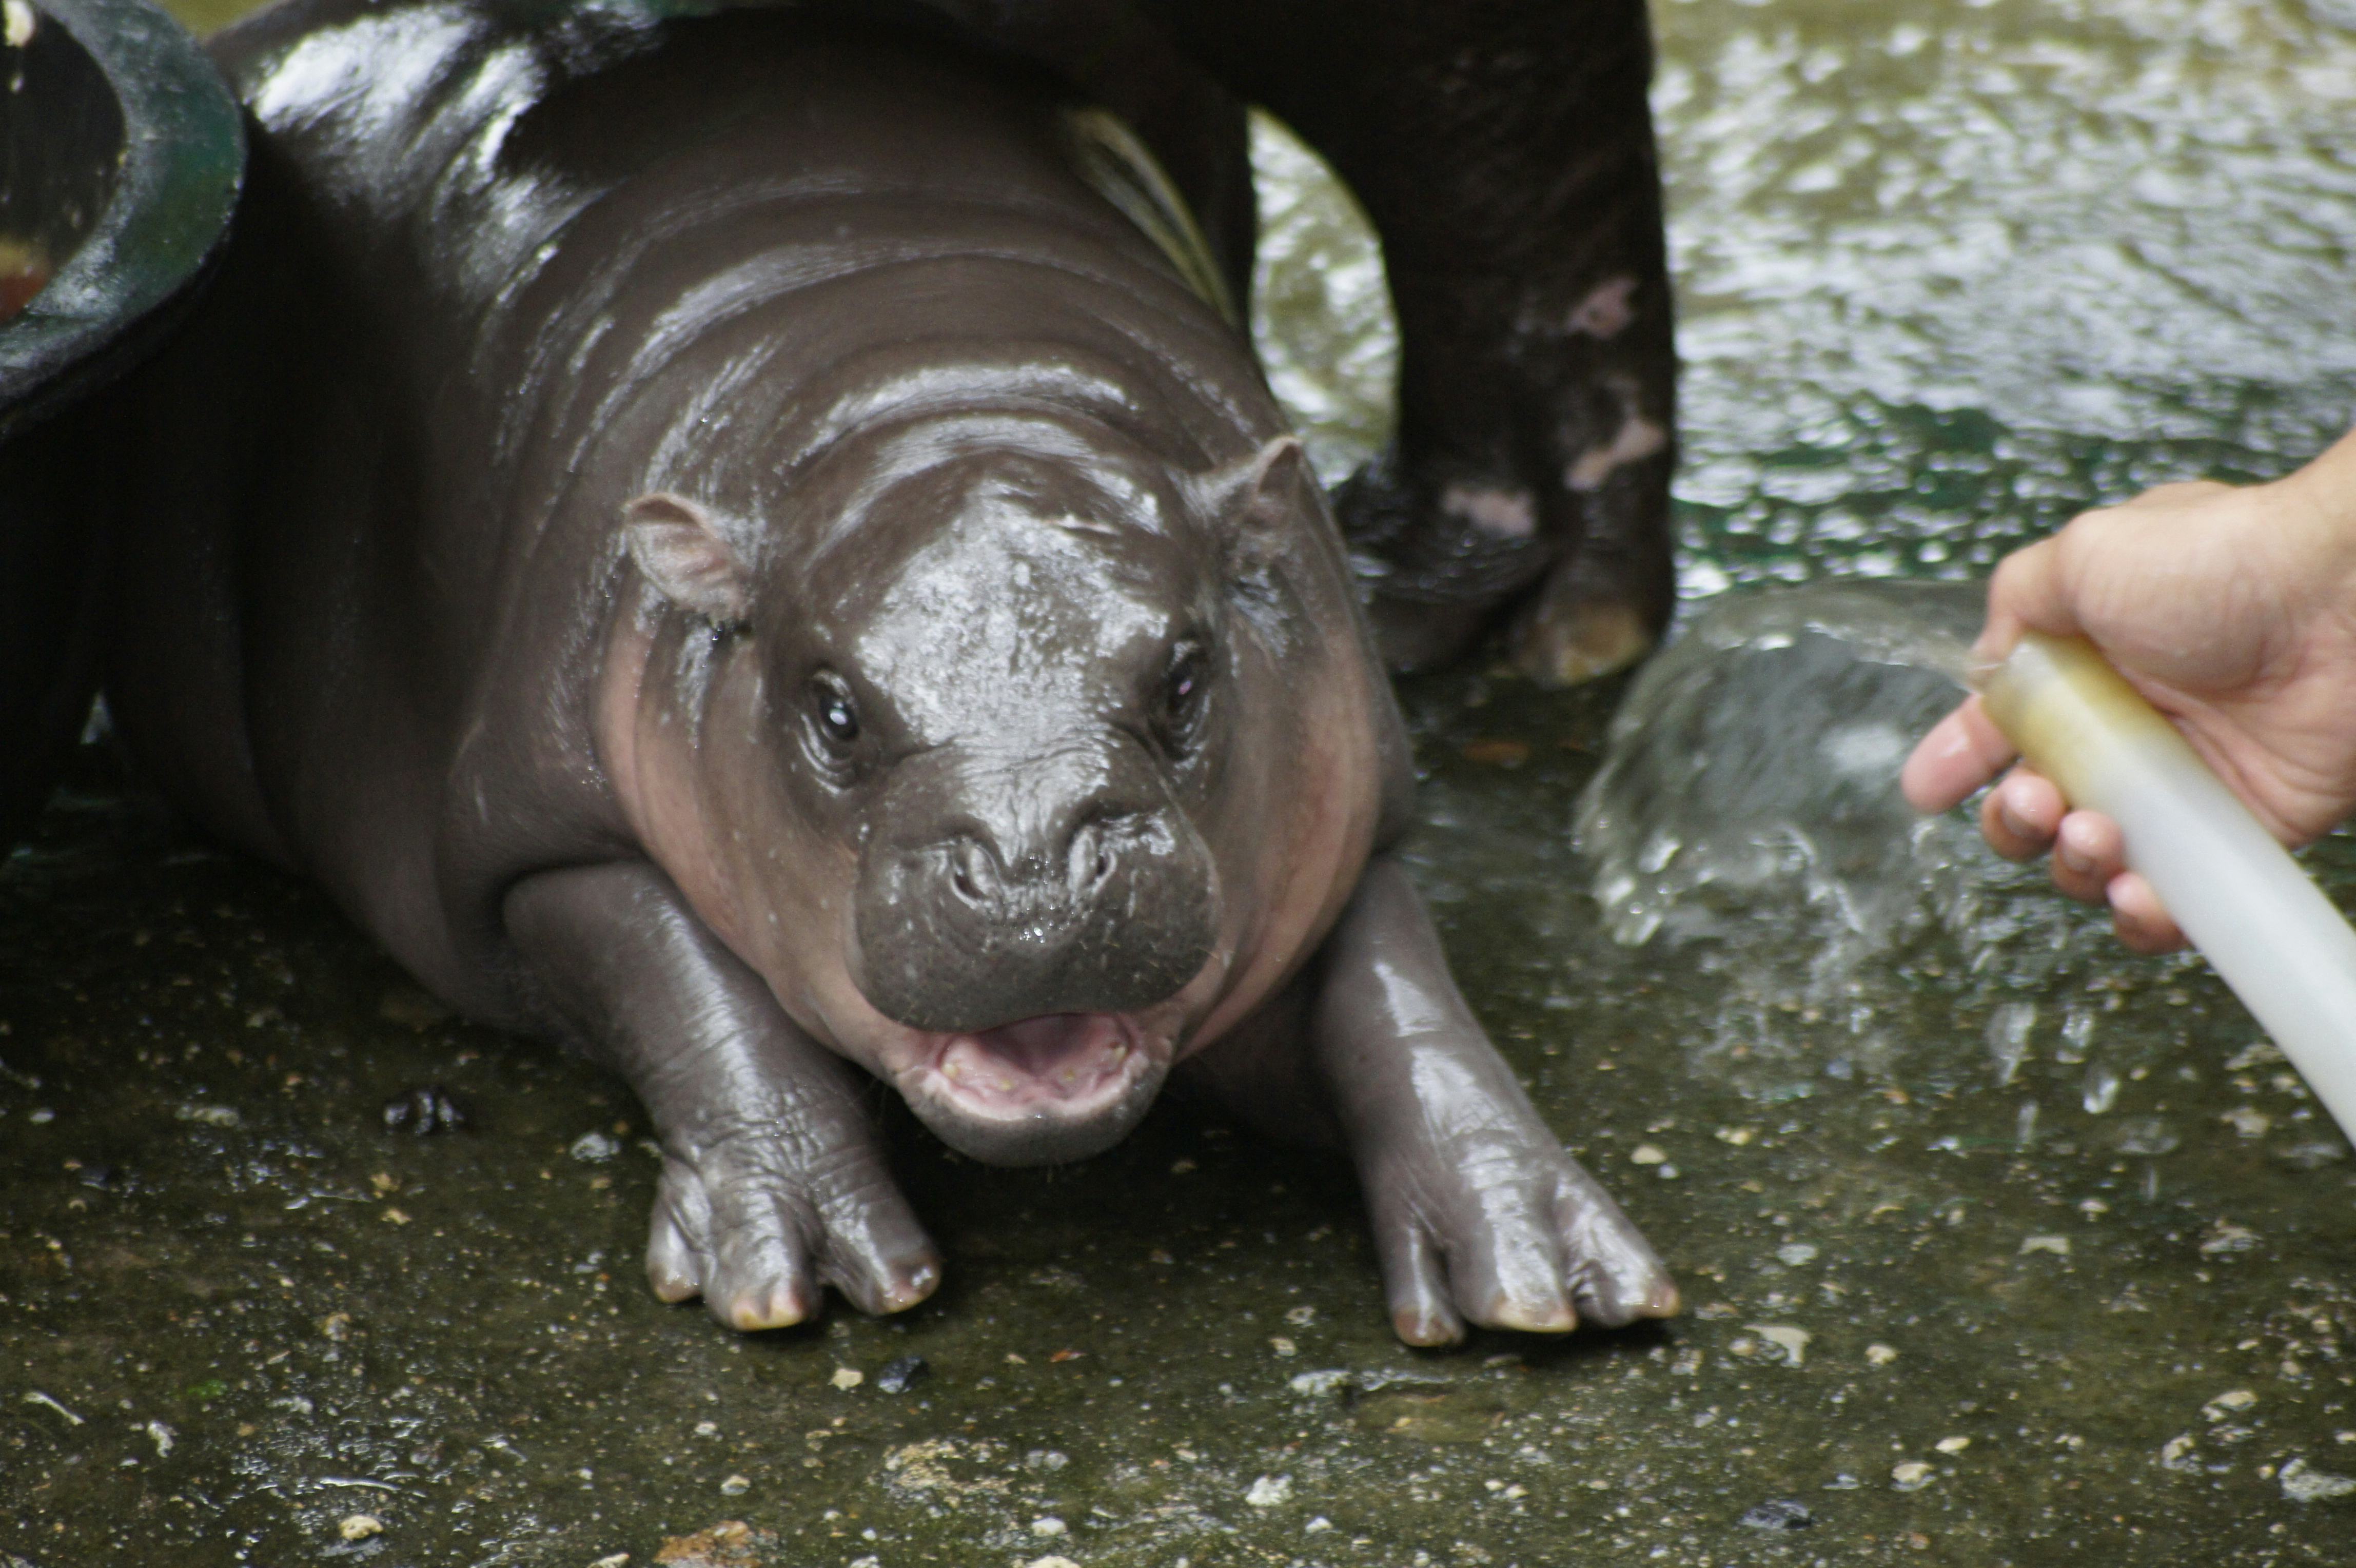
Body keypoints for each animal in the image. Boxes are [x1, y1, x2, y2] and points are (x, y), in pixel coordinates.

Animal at [98, 0, 1678, 1343]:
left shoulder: (1350, 802)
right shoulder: (534, 837)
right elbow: (686, 983)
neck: (942, 385)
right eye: (835, 709)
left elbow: (1401, 995)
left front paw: (1542, 1264)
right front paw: (803, 1262)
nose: (1037, 868)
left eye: (1184, 678)